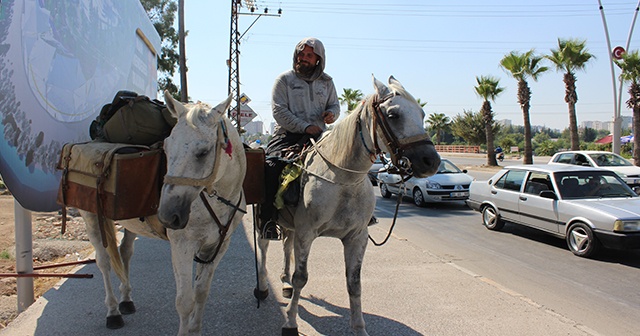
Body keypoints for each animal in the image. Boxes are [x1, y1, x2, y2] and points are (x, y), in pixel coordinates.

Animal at [75, 90, 245, 334]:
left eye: (203, 152)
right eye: (166, 147)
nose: (167, 215)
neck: (219, 201)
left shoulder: (218, 247)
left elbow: (201, 293)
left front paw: (195, 329)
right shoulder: (182, 246)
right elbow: (185, 302)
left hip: (131, 224)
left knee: (125, 252)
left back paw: (126, 300)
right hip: (91, 218)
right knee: (104, 262)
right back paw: (113, 312)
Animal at [255, 76, 440, 336]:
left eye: (422, 114)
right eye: (393, 115)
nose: (431, 161)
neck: (343, 179)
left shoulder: (356, 237)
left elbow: (354, 284)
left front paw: (359, 327)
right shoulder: (306, 233)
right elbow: (301, 277)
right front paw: (290, 321)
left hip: (290, 225)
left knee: (286, 246)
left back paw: (284, 282)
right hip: (264, 220)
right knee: (263, 248)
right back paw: (263, 287)